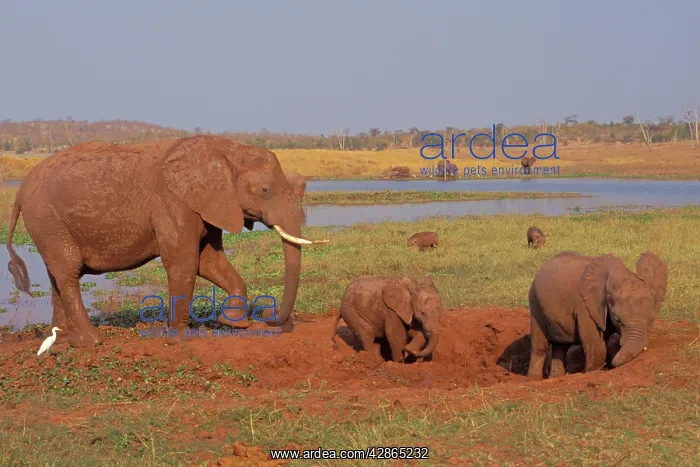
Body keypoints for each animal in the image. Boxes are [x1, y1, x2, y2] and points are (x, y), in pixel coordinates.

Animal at [6, 135, 329, 348]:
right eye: (264, 189)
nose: (273, 321)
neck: (224, 148)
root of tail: (20, 190)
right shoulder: (174, 203)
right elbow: (184, 263)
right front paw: (177, 340)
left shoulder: (209, 204)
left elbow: (210, 262)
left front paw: (234, 324)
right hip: (47, 219)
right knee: (68, 273)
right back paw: (92, 342)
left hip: (49, 225)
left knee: (57, 276)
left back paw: (62, 339)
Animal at [527, 250, 667, 379]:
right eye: (617, 320)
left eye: (651, 321)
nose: (611, 364)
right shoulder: (585, 307)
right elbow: (596, 345)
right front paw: (592, 373)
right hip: (535, 303)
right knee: (540, 347)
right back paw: (533, 379)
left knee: (560, 347)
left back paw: (556, 378)